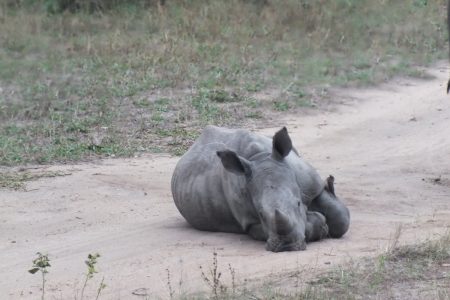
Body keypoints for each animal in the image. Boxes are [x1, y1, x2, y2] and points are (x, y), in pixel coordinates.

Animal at [171, 125, 350, 252]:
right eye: (261, 214)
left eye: (298, 203)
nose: (286, 246)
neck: (261, 158)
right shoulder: (249, 222)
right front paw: (320, 226)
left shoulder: (310, 185)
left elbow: (341, 219)